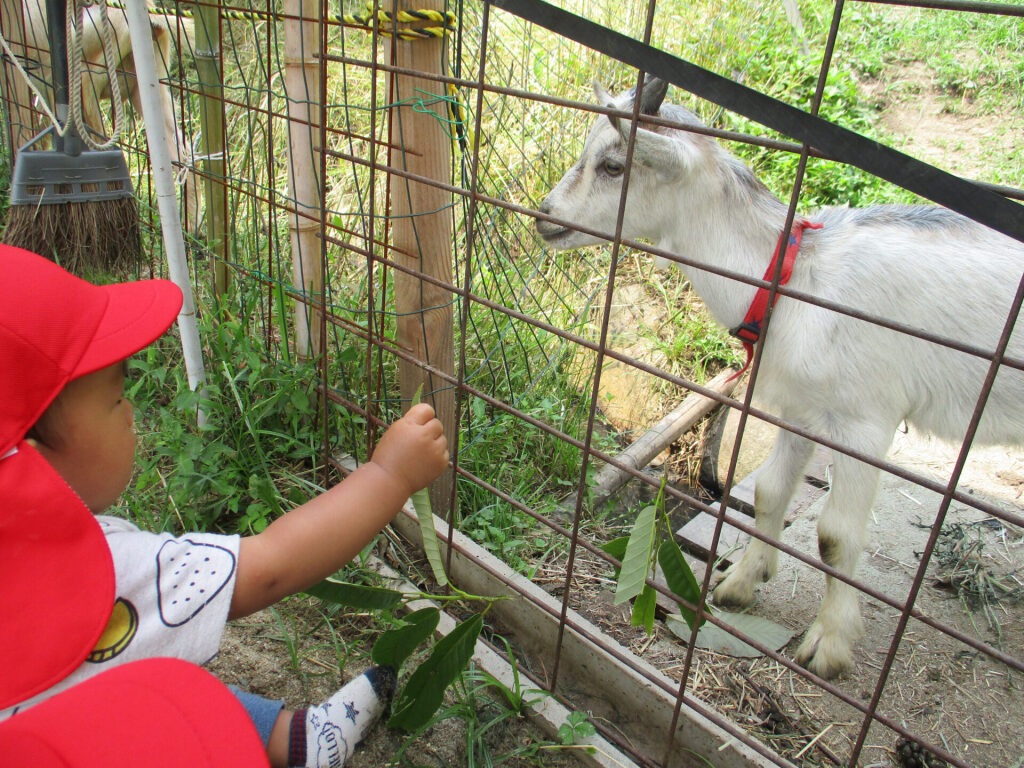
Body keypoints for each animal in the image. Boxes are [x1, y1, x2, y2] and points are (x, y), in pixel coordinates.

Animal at [536, 78, 1024, 679]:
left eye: (613, 165)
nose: (544, 215)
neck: (795, 281)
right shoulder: (803, 408)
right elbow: (770, 490)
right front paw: (739, 584)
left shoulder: (865, 421)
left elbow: (836, 535)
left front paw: (829, 646)